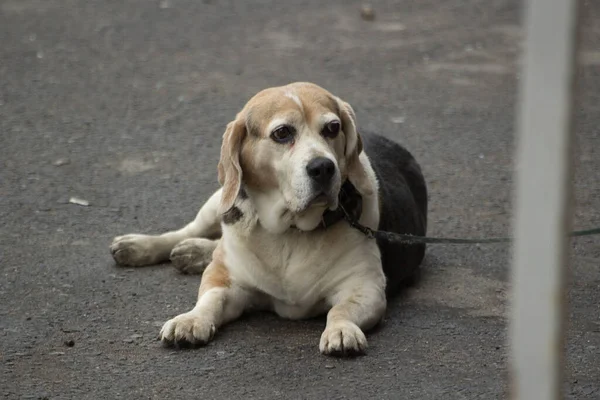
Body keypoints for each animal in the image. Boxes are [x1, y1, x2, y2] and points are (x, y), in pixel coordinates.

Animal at [109, 82, 426, 356]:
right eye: (282, 133)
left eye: (332, 128)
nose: (324, 167)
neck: (290, 231)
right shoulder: (226, 282)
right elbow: (210, 299)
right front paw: (191, 320)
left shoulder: (365, 287)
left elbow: (341, 310)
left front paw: (341, 330)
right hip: (218, 202)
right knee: (188, 232)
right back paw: (141, 246)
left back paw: (193, 252)